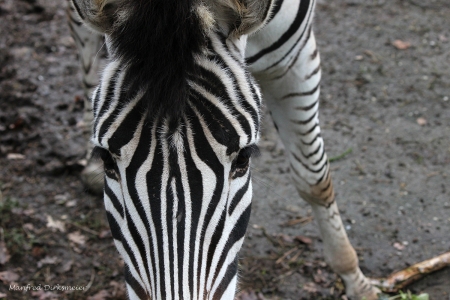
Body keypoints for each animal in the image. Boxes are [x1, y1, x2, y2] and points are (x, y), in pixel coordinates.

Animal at [69, 0, 380, 298]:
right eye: (107, 159)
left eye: (243, 158)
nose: (99, 160)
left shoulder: (295, 62)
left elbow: (314, 180)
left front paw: (354, 277)